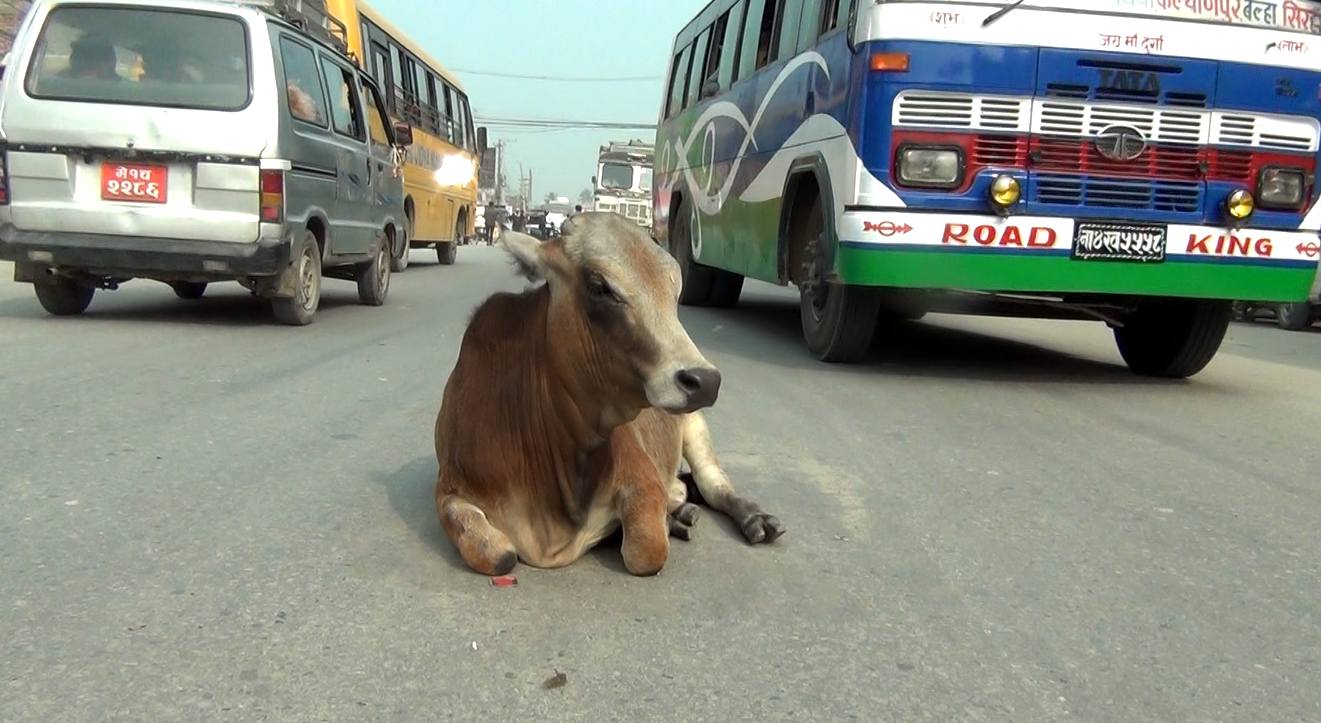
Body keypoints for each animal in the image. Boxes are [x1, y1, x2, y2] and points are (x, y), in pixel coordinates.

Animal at [430, 210, 782, 576]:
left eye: (674, 288)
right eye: (599, 286)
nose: (704, 380)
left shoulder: (642, 480)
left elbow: (645, 551)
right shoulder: (449, 489)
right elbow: (497, 556)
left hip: (695, 426)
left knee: (715, 486)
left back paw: (754, 519)